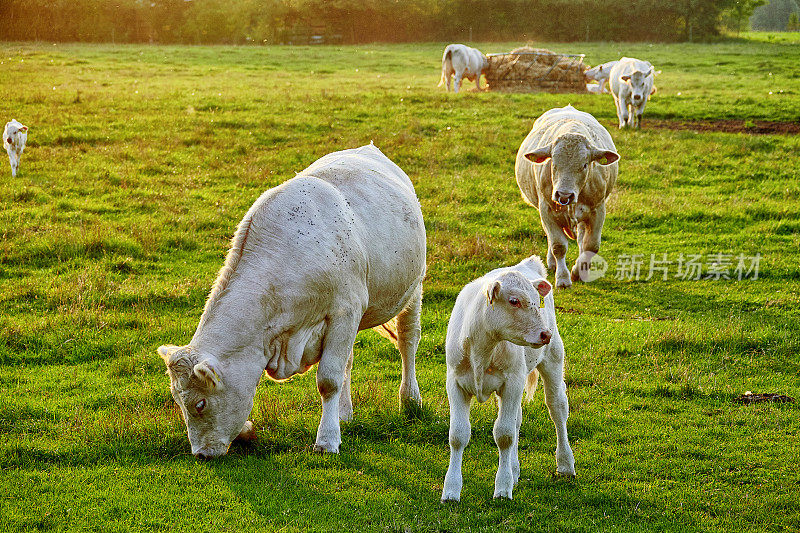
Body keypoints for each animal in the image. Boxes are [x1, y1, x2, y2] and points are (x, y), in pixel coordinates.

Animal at [159, 143, 428, 460]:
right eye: (178, 402)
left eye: (199, 404)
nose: (200, 454)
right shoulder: (342, 320)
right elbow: (339, 370)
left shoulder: (344, 311)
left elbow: (329, 380)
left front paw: (327, 440)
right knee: (349, 360)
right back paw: (345, 414)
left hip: (413, 288)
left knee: (407, 341)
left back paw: (410, 400)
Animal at [440, 256, 572, 500]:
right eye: (514, 301)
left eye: (536, 301)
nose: (545, 334)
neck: (482, 348)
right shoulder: (455, 383)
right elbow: (458, 435)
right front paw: (451, 490)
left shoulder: (511, 383)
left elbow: (504, 434)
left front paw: (502, 487)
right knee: (517, 419)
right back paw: (514, 468)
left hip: (553, 360)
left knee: (557, 409)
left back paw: (566, 464)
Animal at [516, 104, 620, 286]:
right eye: (554, 163)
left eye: (585, 165)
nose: (564, 194)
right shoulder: (547, 210)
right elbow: (558, 245)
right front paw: (563, 278)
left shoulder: (598, 211)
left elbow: (591, 246)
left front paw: (578, 272)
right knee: (550, 238)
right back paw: (552, 263)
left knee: (581, 240)